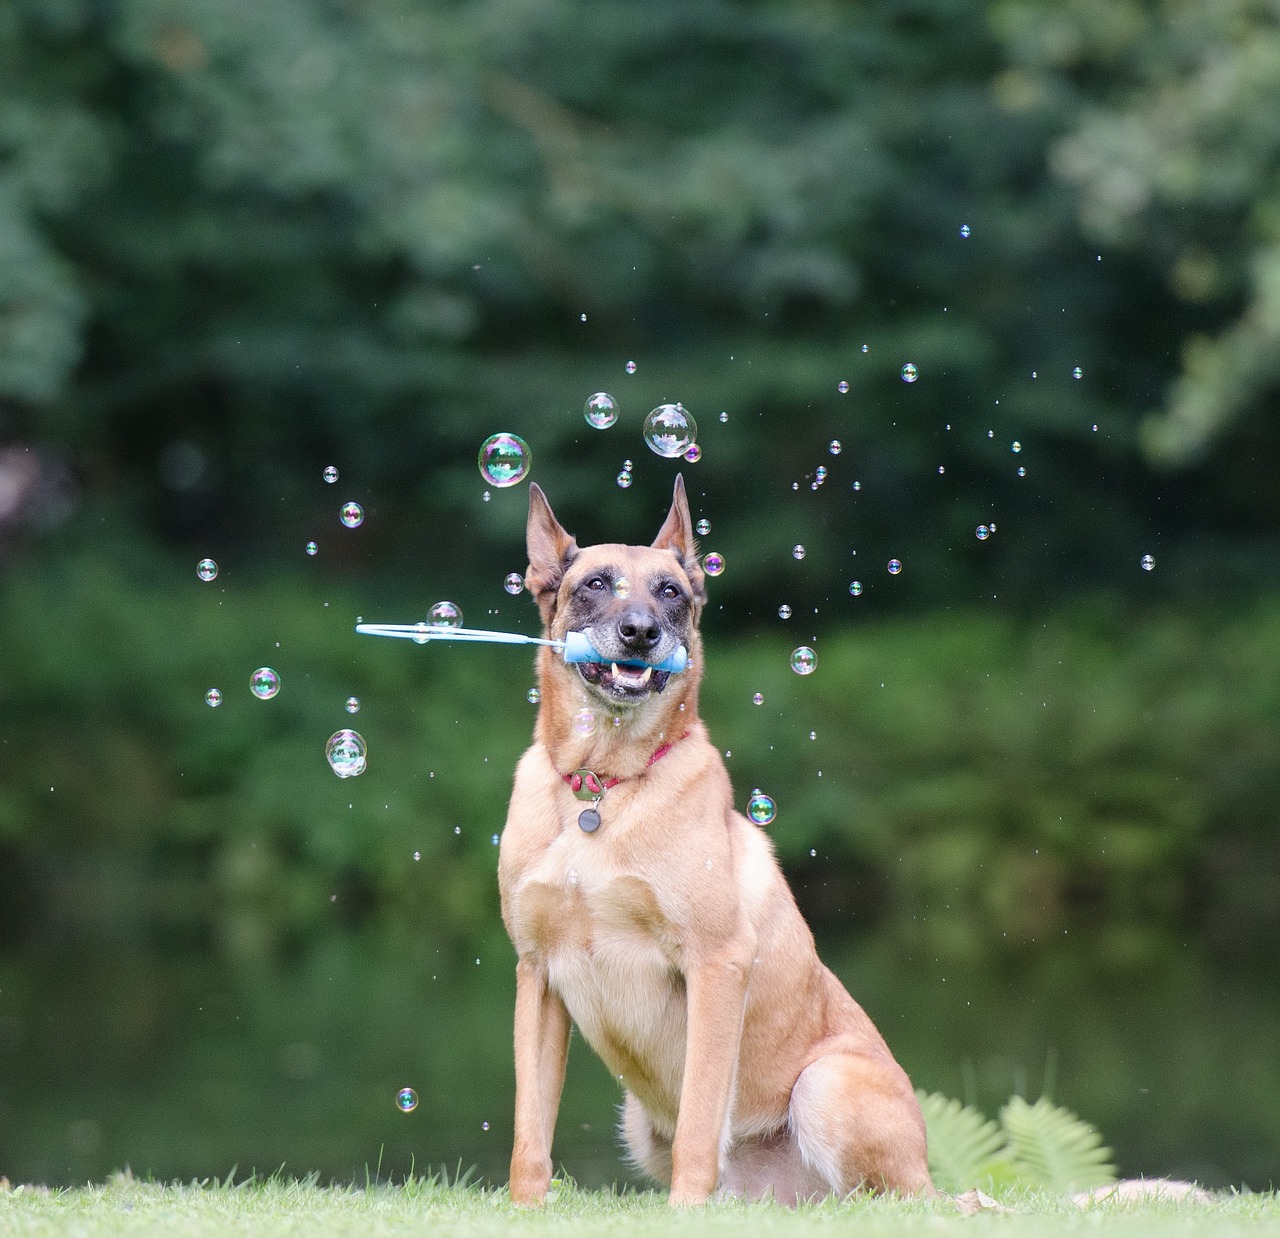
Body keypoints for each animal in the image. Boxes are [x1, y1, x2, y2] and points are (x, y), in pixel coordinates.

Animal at [491, 476, 931, 1208]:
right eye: (594, 584)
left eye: (671, 590)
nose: (641, 633)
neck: (603, 791)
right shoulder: (537, 975)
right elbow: (530, 1129)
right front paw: (525, 1210)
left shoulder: (715, 964)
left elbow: (700, 1117)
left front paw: (684, 1210)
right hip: (638, 1119)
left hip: (825, 1085)